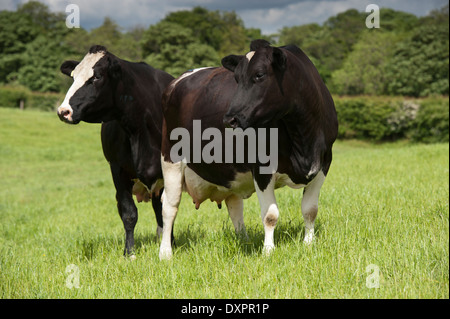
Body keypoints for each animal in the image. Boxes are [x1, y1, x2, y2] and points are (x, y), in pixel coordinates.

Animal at [55, 45, 174, 258]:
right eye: (73, 76)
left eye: (96, 77)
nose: (63, 111)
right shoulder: (117, 169)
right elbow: (128, 213)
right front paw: (129, 252)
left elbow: (169, 208)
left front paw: (171, 245)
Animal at [159, 39, 338, 260]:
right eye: (236, 78)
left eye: (259, 75)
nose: (230, 119)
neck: (303, 136)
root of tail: (176, 81)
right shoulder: (262, 167)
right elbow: (270, 215)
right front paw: (268, 251)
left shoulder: (323, 163)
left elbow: (310, 210)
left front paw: (308, 245)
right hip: (170, 159)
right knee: (169, 205)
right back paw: (165, 252)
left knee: (235, 206)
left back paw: (244, 240)